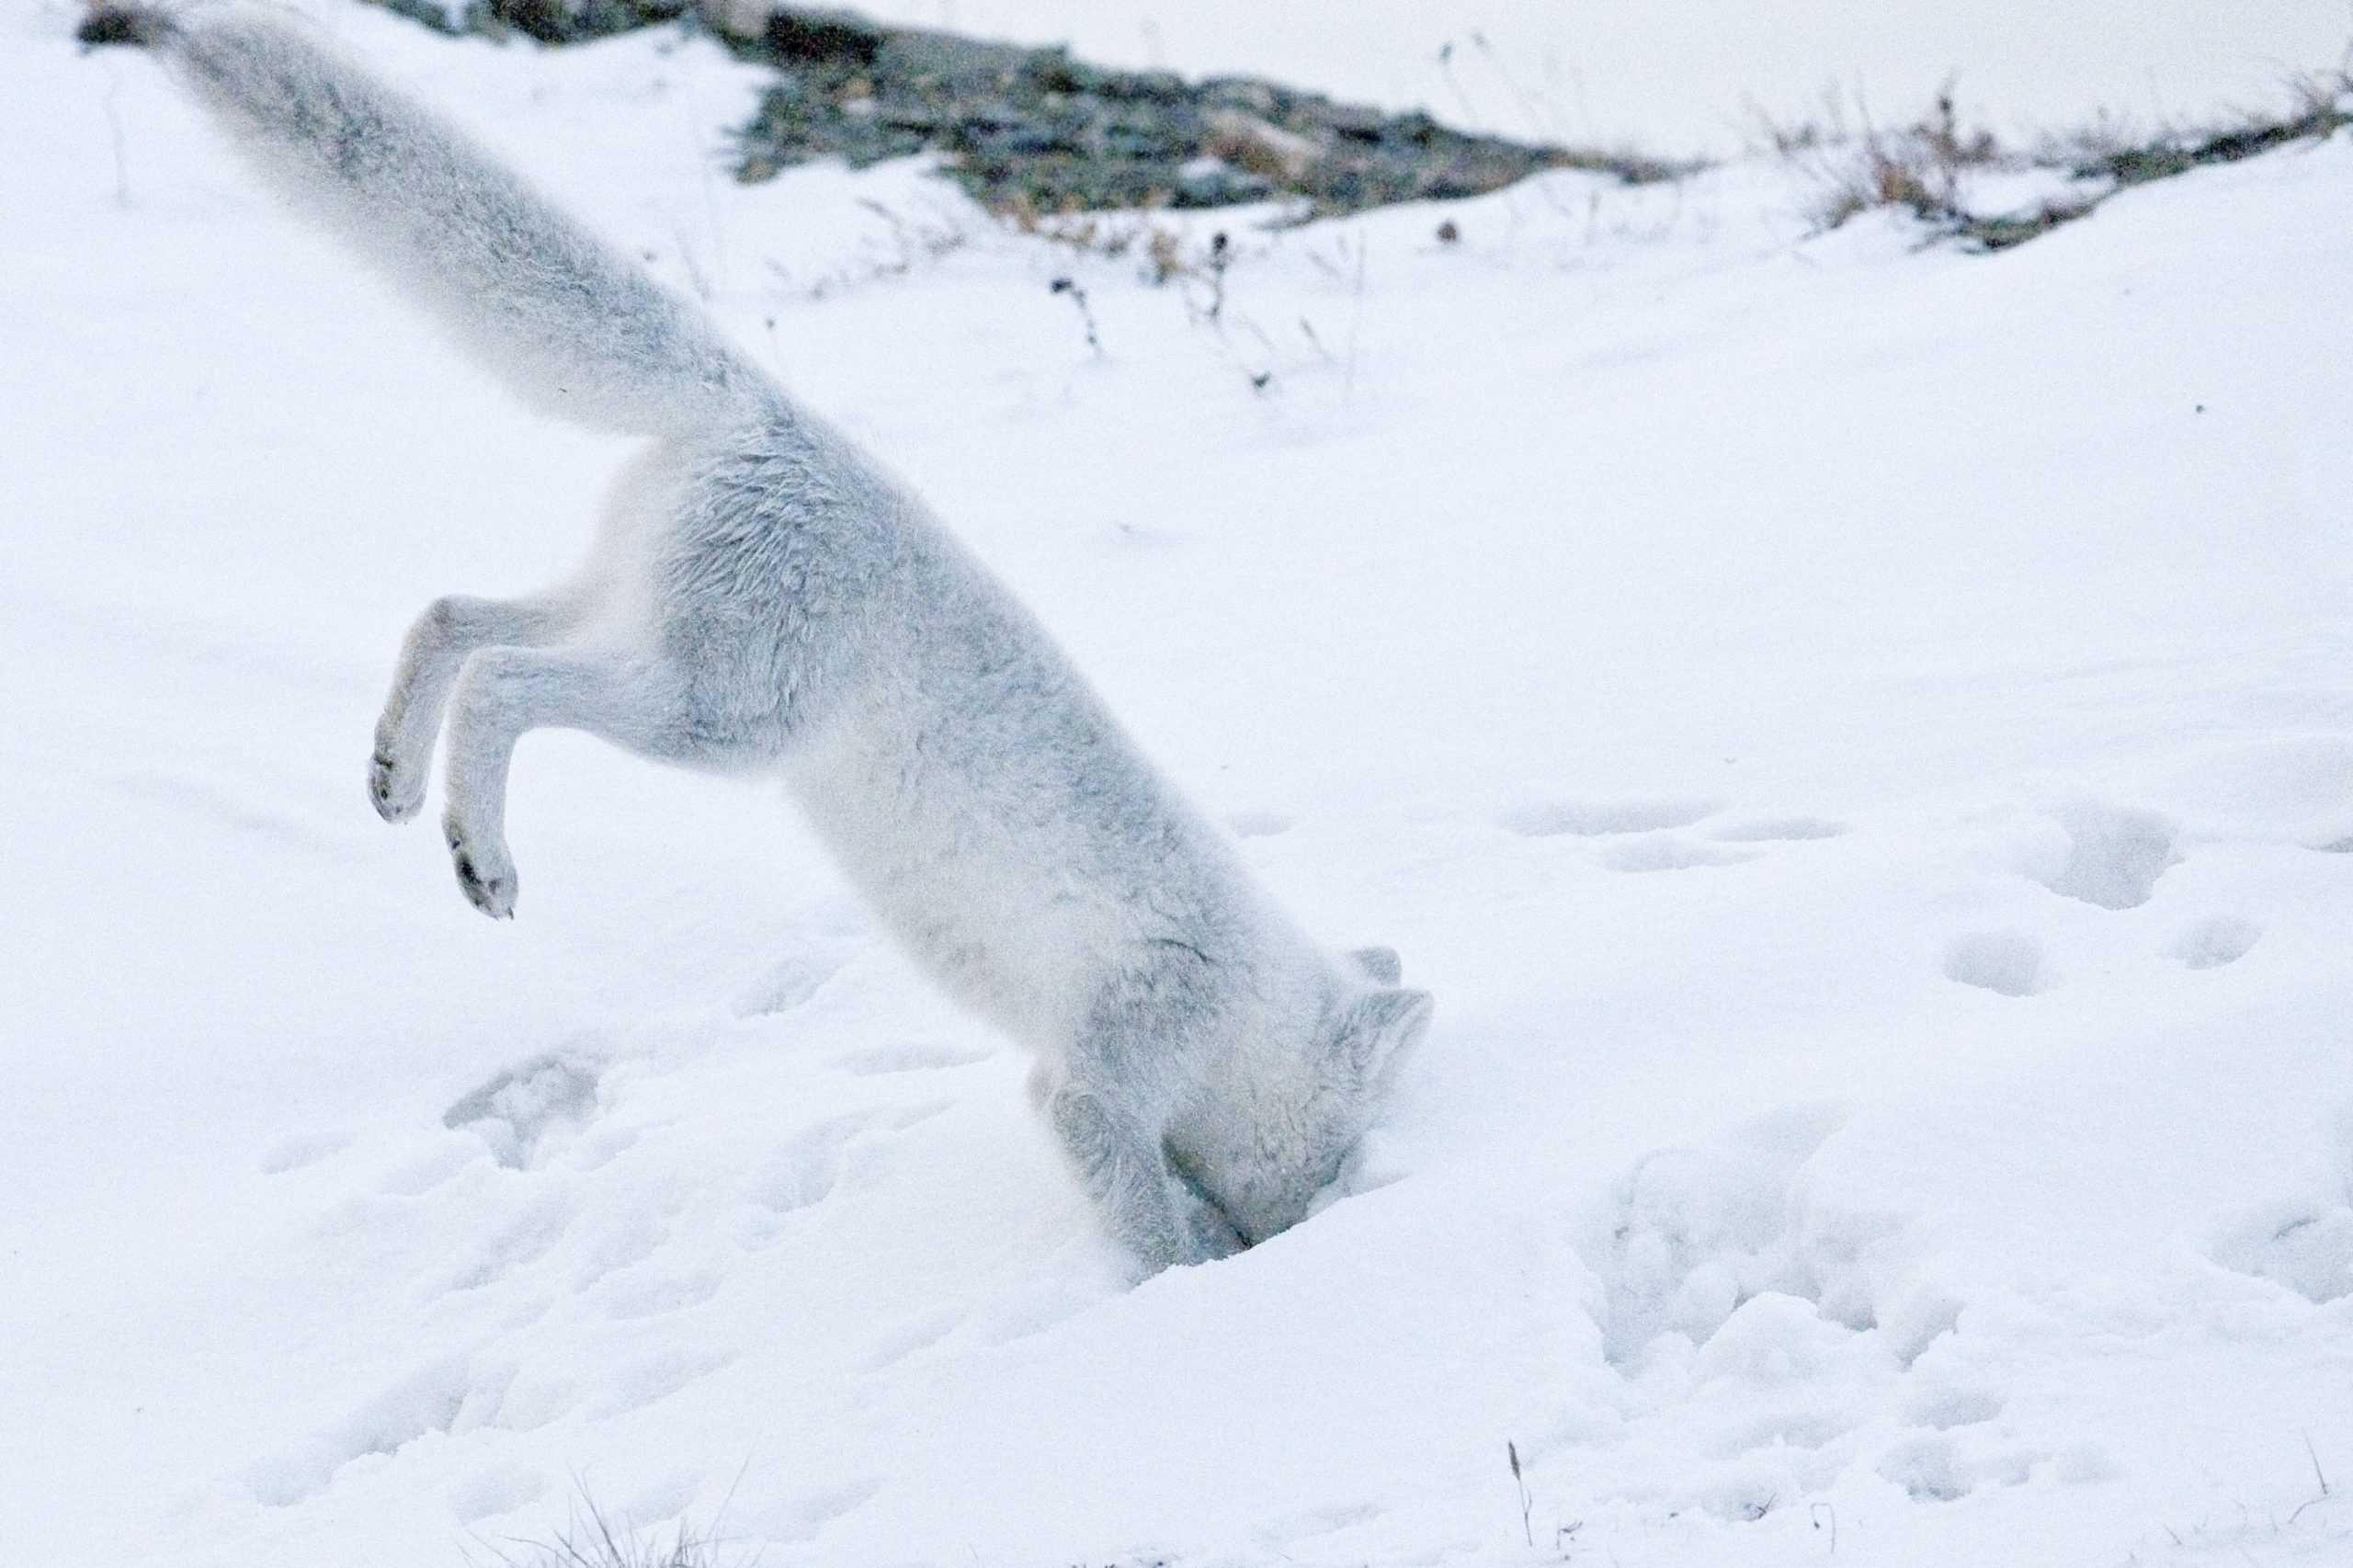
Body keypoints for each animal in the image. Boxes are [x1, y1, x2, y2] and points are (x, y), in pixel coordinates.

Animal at [124, 6, 1430, 1271]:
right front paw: (1182, 1286)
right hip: (723, 715)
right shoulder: (1102, 1067)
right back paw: (478, 852)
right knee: (503, 679)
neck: (1244, 995)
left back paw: (397, 778)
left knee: (451, 614)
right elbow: (1139, 1213)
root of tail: (768, 408)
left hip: (629, 614)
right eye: (1338, 1142)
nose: (1318, 1222)